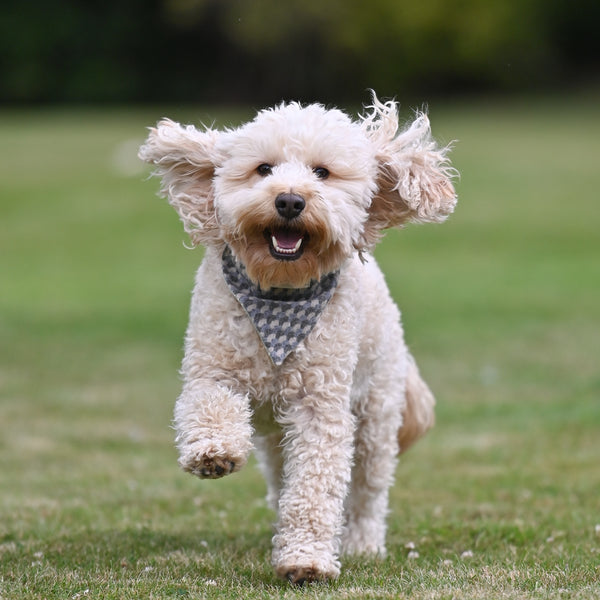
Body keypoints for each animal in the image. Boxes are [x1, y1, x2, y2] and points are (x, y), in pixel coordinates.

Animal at [138, 96, 458, 584]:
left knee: (368, 490)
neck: (280, 291)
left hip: (376, 415)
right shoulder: (213, 366)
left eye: (322, 172)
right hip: (274, 439)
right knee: (280, 477)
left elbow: (315, 484)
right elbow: (210, 404)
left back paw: (362, 543)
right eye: (263, 168)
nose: (289, 199)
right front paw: (214, 453)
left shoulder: (319, 406)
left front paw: (306, 559)